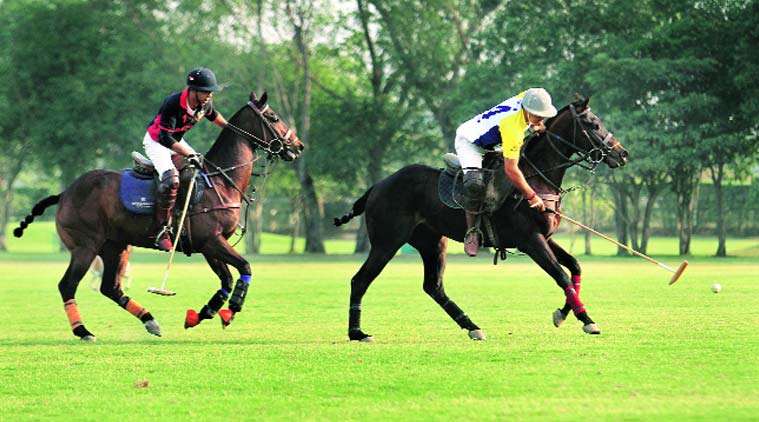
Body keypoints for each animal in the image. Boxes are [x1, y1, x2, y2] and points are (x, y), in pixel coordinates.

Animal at [12, 91, 302, 340]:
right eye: (273, 116)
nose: (297, 147)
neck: (221, 180)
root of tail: (64, 193)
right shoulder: (211, 241)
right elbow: (244, 267)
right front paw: (231, 310)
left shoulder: (210, 244)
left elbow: (227, 279)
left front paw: (201, 314)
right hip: (85, 246)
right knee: (68, 285)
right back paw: (83, 331)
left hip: (115, 246)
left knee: (111, 287)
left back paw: (150, 320)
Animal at [336, 95, 628, 340]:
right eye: (593, 124)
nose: (622, 154)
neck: (536, 177)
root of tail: (377, 186)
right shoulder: (530, 241)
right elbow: (561, 275)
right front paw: (586, 319)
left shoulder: (545, 237)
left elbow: (575, 267)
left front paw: (563, 314)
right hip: (387, 242)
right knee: (359, 280)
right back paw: (357, 333)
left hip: (432, 242)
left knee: (433, 286)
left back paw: (472, 326)